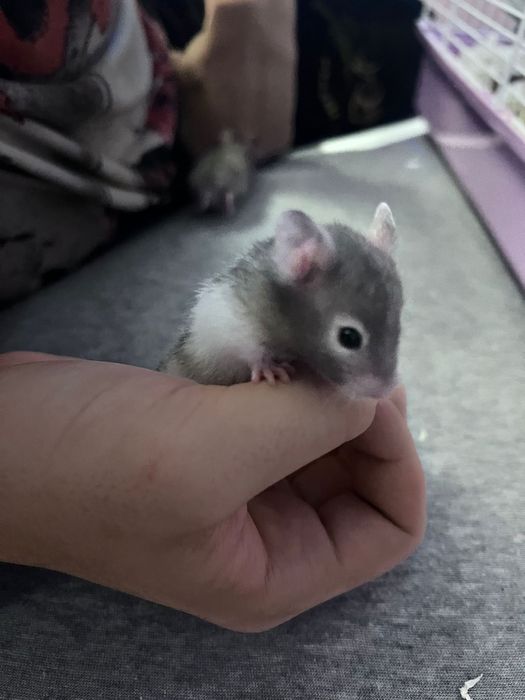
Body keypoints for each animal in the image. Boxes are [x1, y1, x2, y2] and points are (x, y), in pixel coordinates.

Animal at [160, 204, 403, 399]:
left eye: (398, 329)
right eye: (349, 337)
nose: (384, 392)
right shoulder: (228, 316)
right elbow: (246, 345)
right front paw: (268, 368)